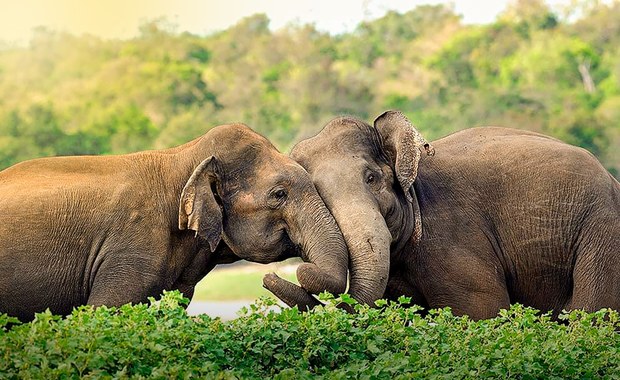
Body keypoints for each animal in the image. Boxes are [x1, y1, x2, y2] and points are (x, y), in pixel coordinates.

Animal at [262, 110, 620, 320]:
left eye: (372, 178)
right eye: (318, 194)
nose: (269, 277)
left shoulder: (454, 238)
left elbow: (481, 311)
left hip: (603, 229)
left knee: (593, 312)